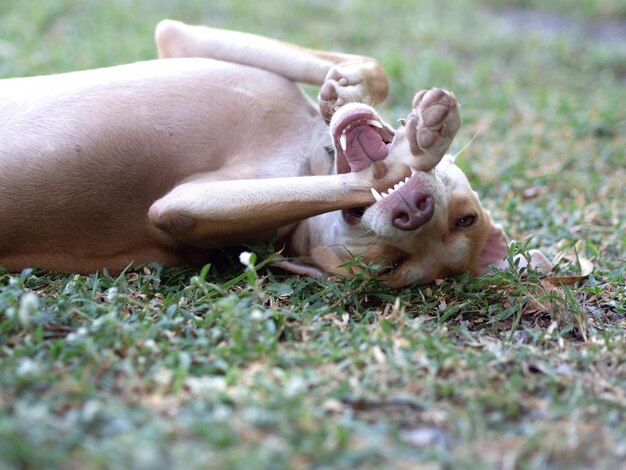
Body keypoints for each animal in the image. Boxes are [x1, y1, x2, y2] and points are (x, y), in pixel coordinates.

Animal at [0, 19, 544, 286]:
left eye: (390, 268)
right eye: (466, 218)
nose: (415, 208)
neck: (308, 153)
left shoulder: (181, 209)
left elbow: (361, 176)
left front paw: (411, 151)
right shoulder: (176, 38)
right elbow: (374, 68)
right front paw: (348, 88)